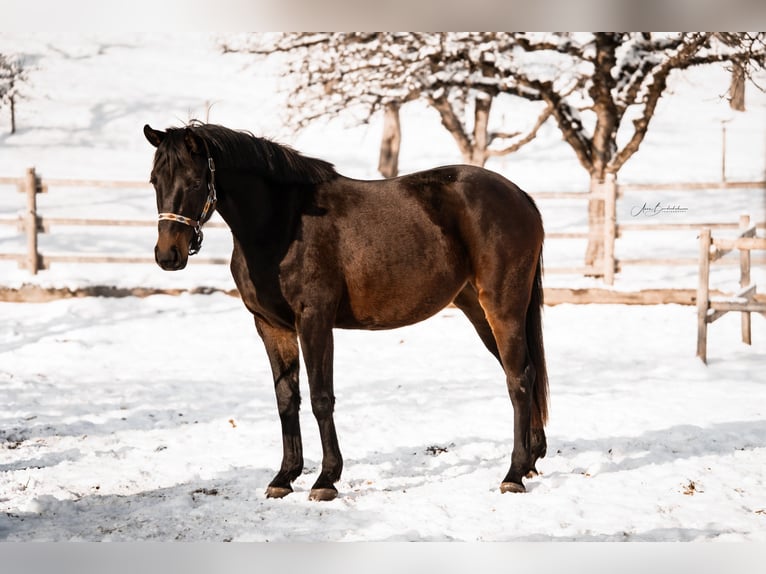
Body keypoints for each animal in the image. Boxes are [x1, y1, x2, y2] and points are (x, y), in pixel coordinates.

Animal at [144, 121, 549, 501]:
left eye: (196, 181)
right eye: (154, 181)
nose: (168, 255)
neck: (283, 224)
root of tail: (519, 196)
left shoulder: (315, 320)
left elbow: (321, 398)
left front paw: (326, 480)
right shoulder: (271, 326)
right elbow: (286, 399)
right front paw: (284, 477)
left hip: (503, 307)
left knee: (518, 379)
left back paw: (513, 474)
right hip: (478, 310)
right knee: (523, 373)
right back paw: (530, 460)